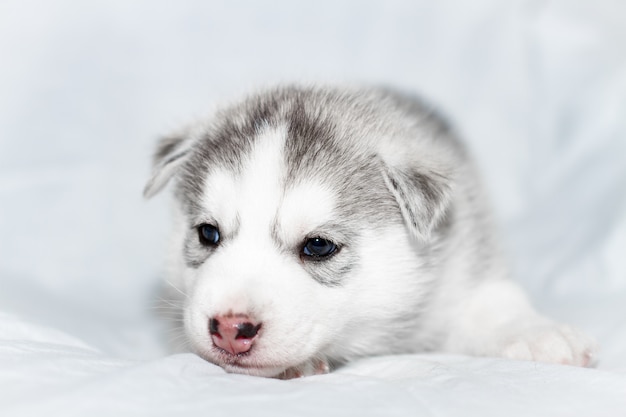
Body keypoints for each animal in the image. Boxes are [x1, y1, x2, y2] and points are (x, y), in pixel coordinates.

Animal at [145, 84, 596, 376]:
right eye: (208, 234)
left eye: (318, 246)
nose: (229, 328)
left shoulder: (465, 259)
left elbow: (495, 300)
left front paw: (537, 333)